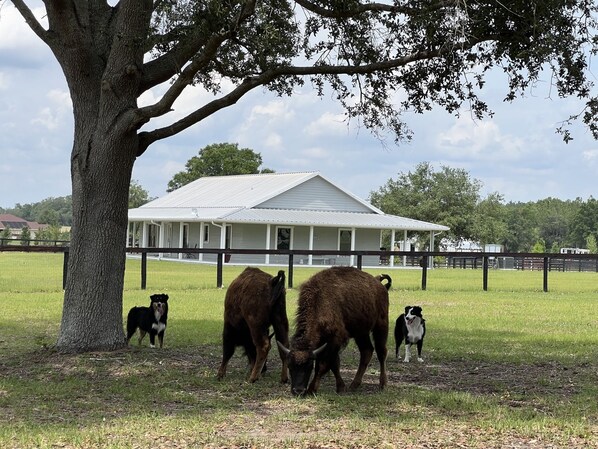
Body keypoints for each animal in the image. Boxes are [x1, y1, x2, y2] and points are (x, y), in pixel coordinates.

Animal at [278, 266, 392, 396]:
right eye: (289, 366)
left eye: (309, 366)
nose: (298, 391)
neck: (317, 301)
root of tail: (379, 283)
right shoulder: (326, 342)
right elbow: (334, 364)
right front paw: (341, 387)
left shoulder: (335, 340)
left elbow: (324, 364)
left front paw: (313, 389)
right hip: (361, 332)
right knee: (366, 351)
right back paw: (354, 385)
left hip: (381, 325)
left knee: (381, 352)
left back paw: (383, 384)